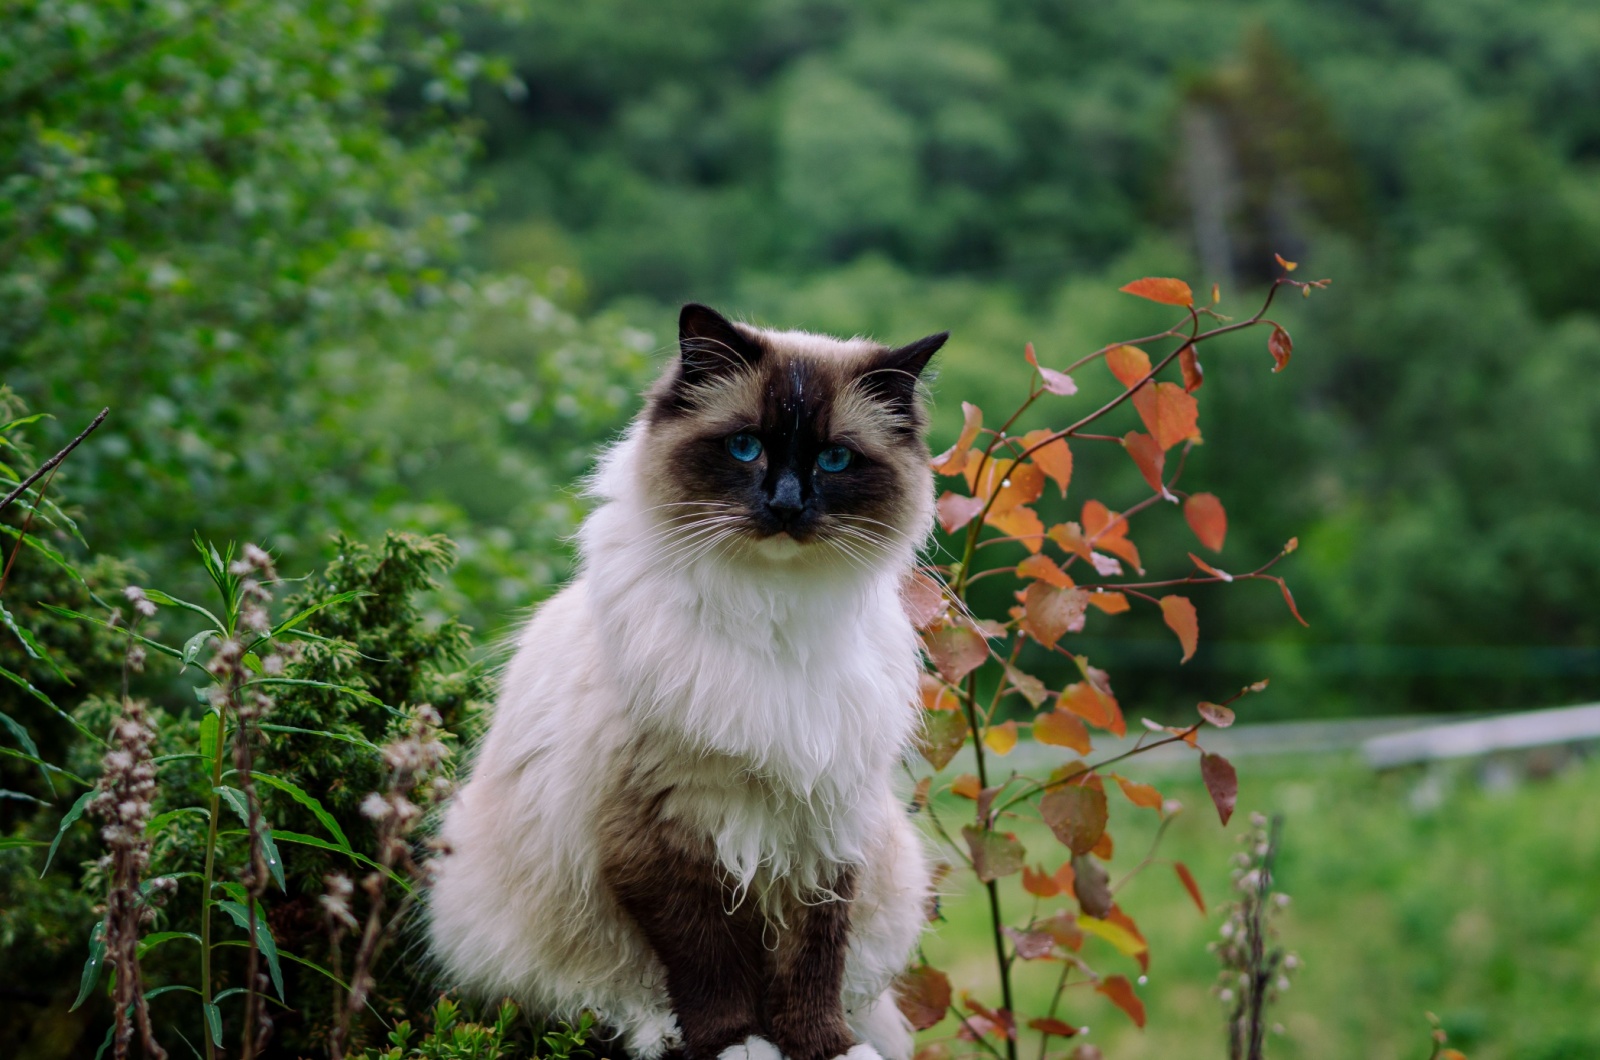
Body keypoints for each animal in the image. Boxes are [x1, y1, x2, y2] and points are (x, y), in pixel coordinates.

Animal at [428, 302, 947, 1060]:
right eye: (744, 448)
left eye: (834, 459)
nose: (786, 505)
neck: (773, 615)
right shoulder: (661, 833)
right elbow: (709, 964)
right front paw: (740, 1045)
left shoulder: (824, 826)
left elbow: (812, 962)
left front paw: (825, 1047)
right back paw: (657, 1030)